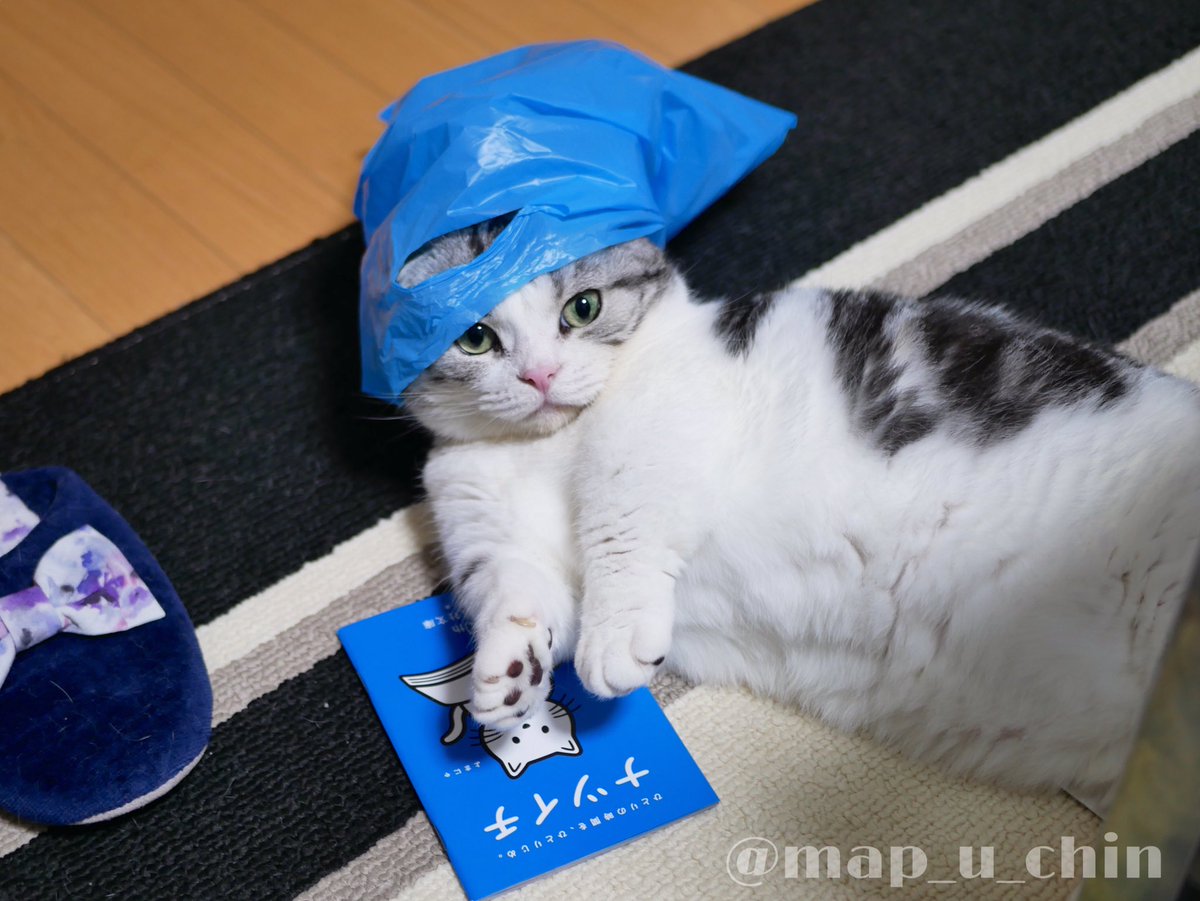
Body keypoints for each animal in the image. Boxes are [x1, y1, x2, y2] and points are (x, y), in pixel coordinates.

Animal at [397, 219, 1200, 807]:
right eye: (476, 338)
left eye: (583, 308)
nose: (539, 376)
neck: (544, 448)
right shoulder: (499, 542)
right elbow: (518, 600)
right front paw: (504, 678)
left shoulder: (652, 440)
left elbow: (619, 531)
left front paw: (613, 638)